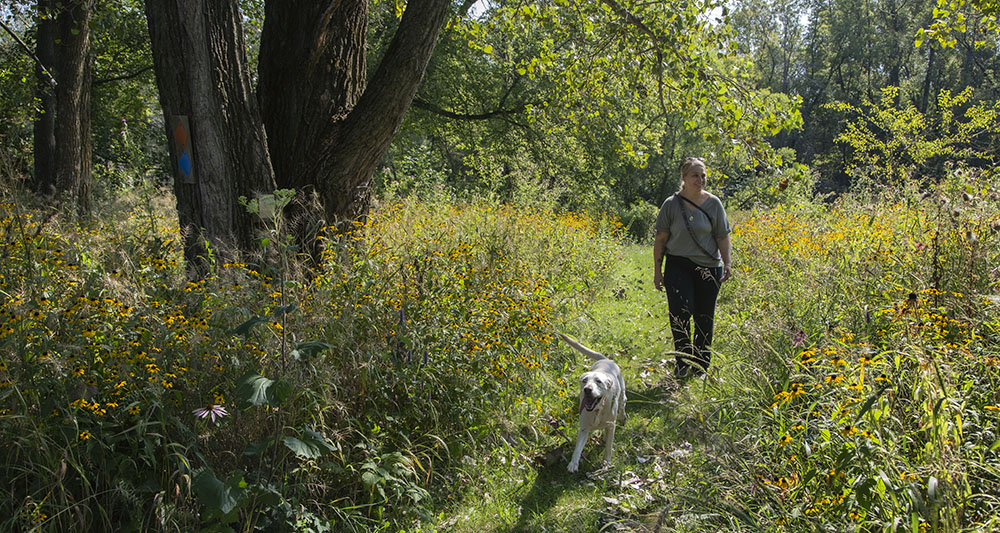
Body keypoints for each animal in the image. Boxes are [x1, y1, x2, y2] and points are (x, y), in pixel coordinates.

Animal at [560, 330, 628, 472]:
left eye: (599, 382)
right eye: (584, 380)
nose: (587, 389)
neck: (597, 410)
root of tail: (606, 360)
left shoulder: (611, 425)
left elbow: (609, 446)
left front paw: (606, 462)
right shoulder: (584, 428)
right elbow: (578, 448)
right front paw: (573, 464)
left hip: (621, 389)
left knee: (623, 402)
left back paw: (622, 416)